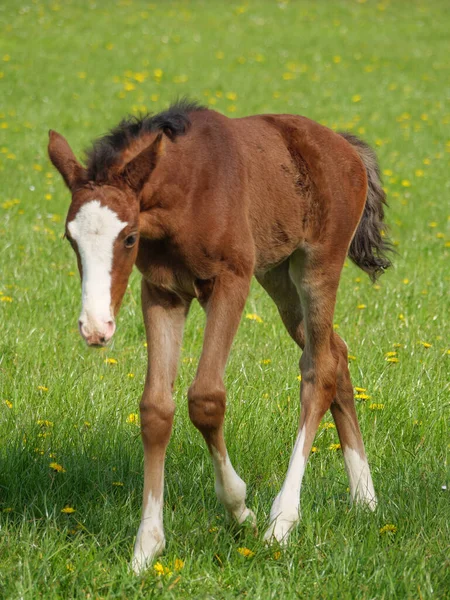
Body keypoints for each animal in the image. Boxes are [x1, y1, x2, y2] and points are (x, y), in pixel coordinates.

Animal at [49, 99, 392, 572]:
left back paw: (281, 521)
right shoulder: (162, 292)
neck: (187, 194)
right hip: (276, 273)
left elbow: (206, 398)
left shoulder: (230, 281)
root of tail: (344, 146)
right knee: (336, 353)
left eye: (130, 237)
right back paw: (365, 498)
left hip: (317, 265)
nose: (96, 328)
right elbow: (156, 409)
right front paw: (146, 548)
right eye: (70, 238)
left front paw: (240, 509)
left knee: (319, 369)